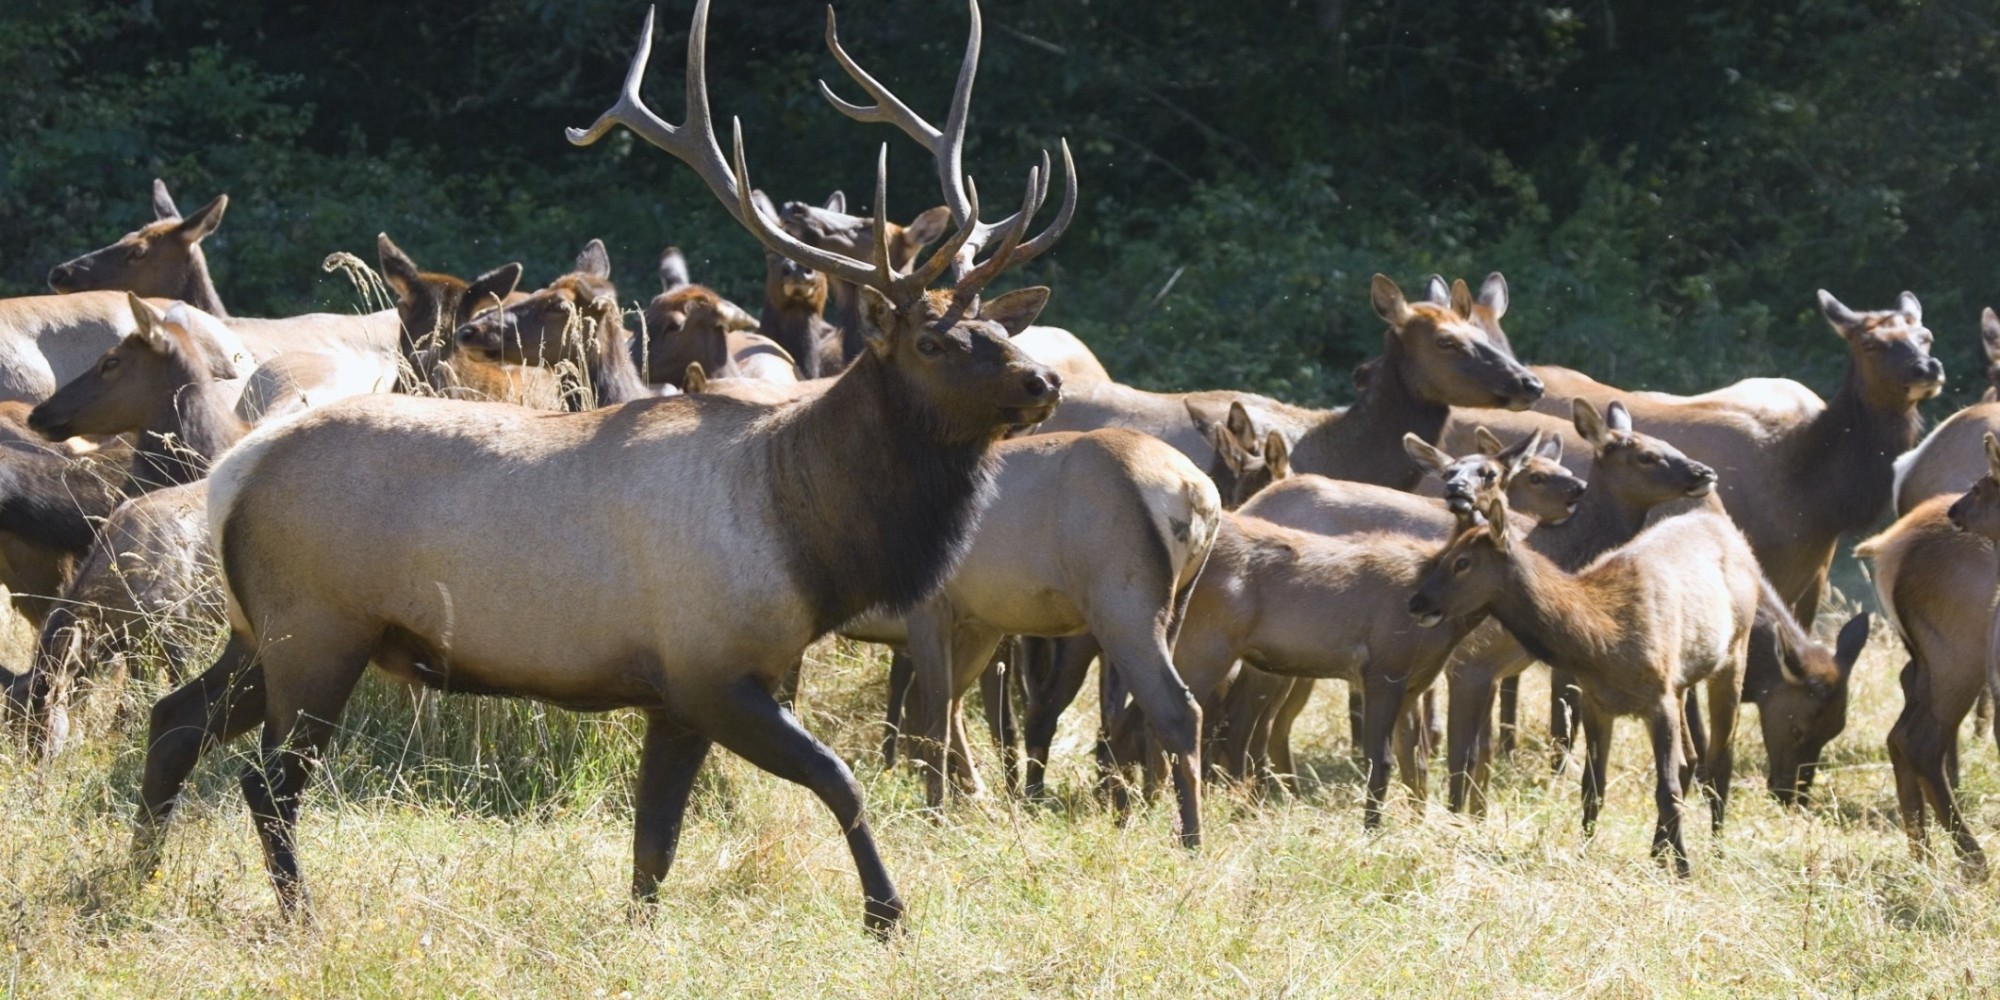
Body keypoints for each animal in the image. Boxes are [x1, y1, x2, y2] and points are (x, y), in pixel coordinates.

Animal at [129, 0, 1071, 936]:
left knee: (172, 721)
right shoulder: (713, 668)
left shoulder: (674, 698)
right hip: (318, 627)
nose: (1046, 380)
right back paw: (299, 916)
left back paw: (138, 879)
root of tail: (233, 478)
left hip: (261, 630)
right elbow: (839, 781)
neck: (810, 539)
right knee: (266, 779)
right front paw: (886, 913)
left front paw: (645, 934)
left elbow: (654, 848)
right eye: (934, 341)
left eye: (997, 324)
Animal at [1409, 496, 1764, 875]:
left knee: (1719, 759)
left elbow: (1666, 790)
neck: (1604, 641)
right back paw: (1657, 851)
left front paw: (1684, 869)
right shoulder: (1599, 701)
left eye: (1462, 562)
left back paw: (1716, 849)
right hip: (1682, 685)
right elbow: (1592, 788)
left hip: (1733, 656)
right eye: (1443, 554)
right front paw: (1586, 853)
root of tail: (1721, 520)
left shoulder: (1659, 697)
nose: (1416, 602)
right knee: (1691, 759)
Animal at [1857, 432, 2000, 876]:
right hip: (1958, 660)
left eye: (1980, 488)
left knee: (1900, 734)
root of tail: (1887, 546)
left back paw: (1923, 855)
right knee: (1920, 740)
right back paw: (1971, 858)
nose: (1957, 510)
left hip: (1928, 663)